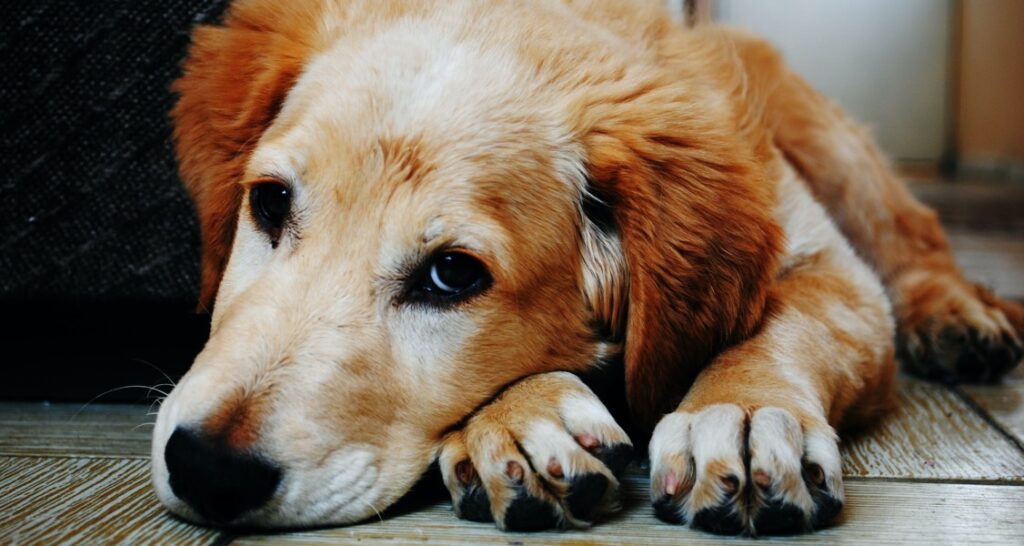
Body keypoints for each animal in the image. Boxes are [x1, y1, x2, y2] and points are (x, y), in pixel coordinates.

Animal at [151, 0, 1024, 536]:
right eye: (269, 203)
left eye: (452, 275)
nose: (206, 469)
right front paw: (522, 419)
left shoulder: (832, 270)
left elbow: (784, 327)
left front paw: (742, 412)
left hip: (831, 145)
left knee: (914, 235)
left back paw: (959, 317)